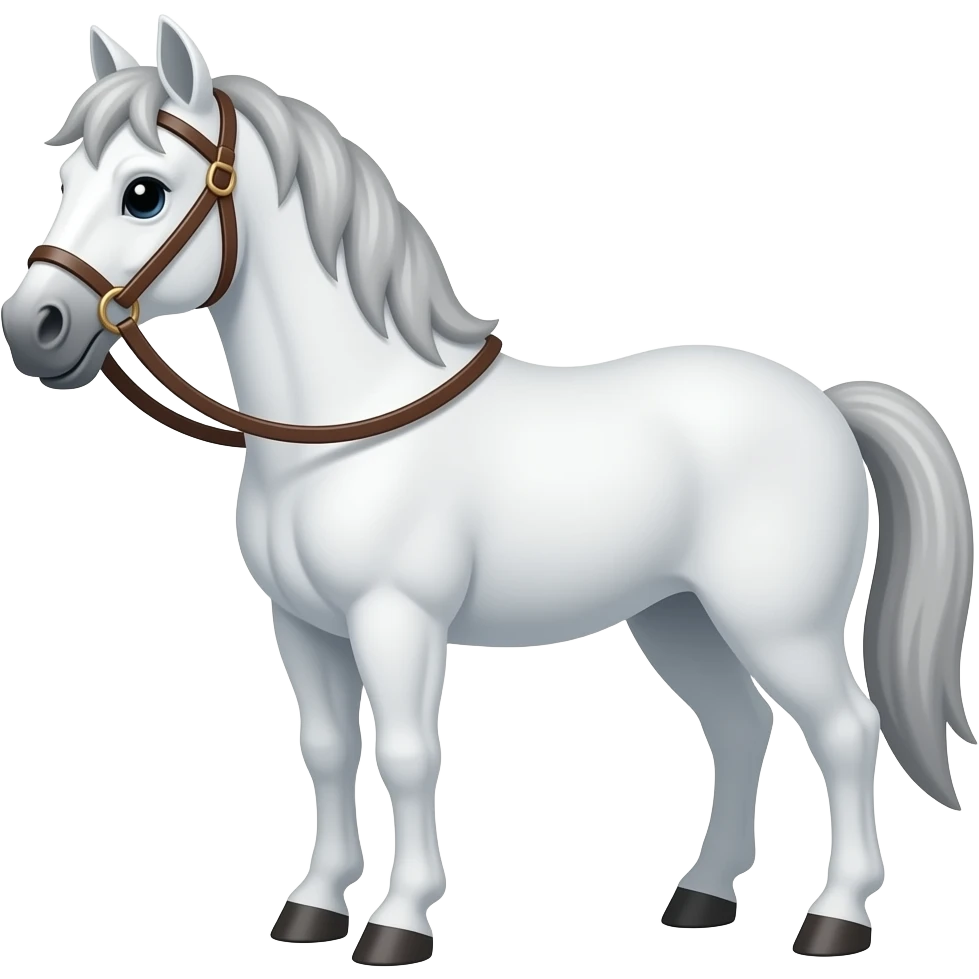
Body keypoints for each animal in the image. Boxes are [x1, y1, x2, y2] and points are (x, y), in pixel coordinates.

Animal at [2, 15, 973, 965]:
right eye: (67, 175)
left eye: (144, 193)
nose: (33, 328)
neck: (351, 421)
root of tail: (825, 403)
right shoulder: (303, 625)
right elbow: (325, 749)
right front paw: (312, 908)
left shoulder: (395, 619)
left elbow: (404, 753)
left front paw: (397, 923)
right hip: (680, 617)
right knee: (739, 726)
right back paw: (701, 897)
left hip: (778, 622)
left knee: (845, 730)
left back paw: (834, 919)